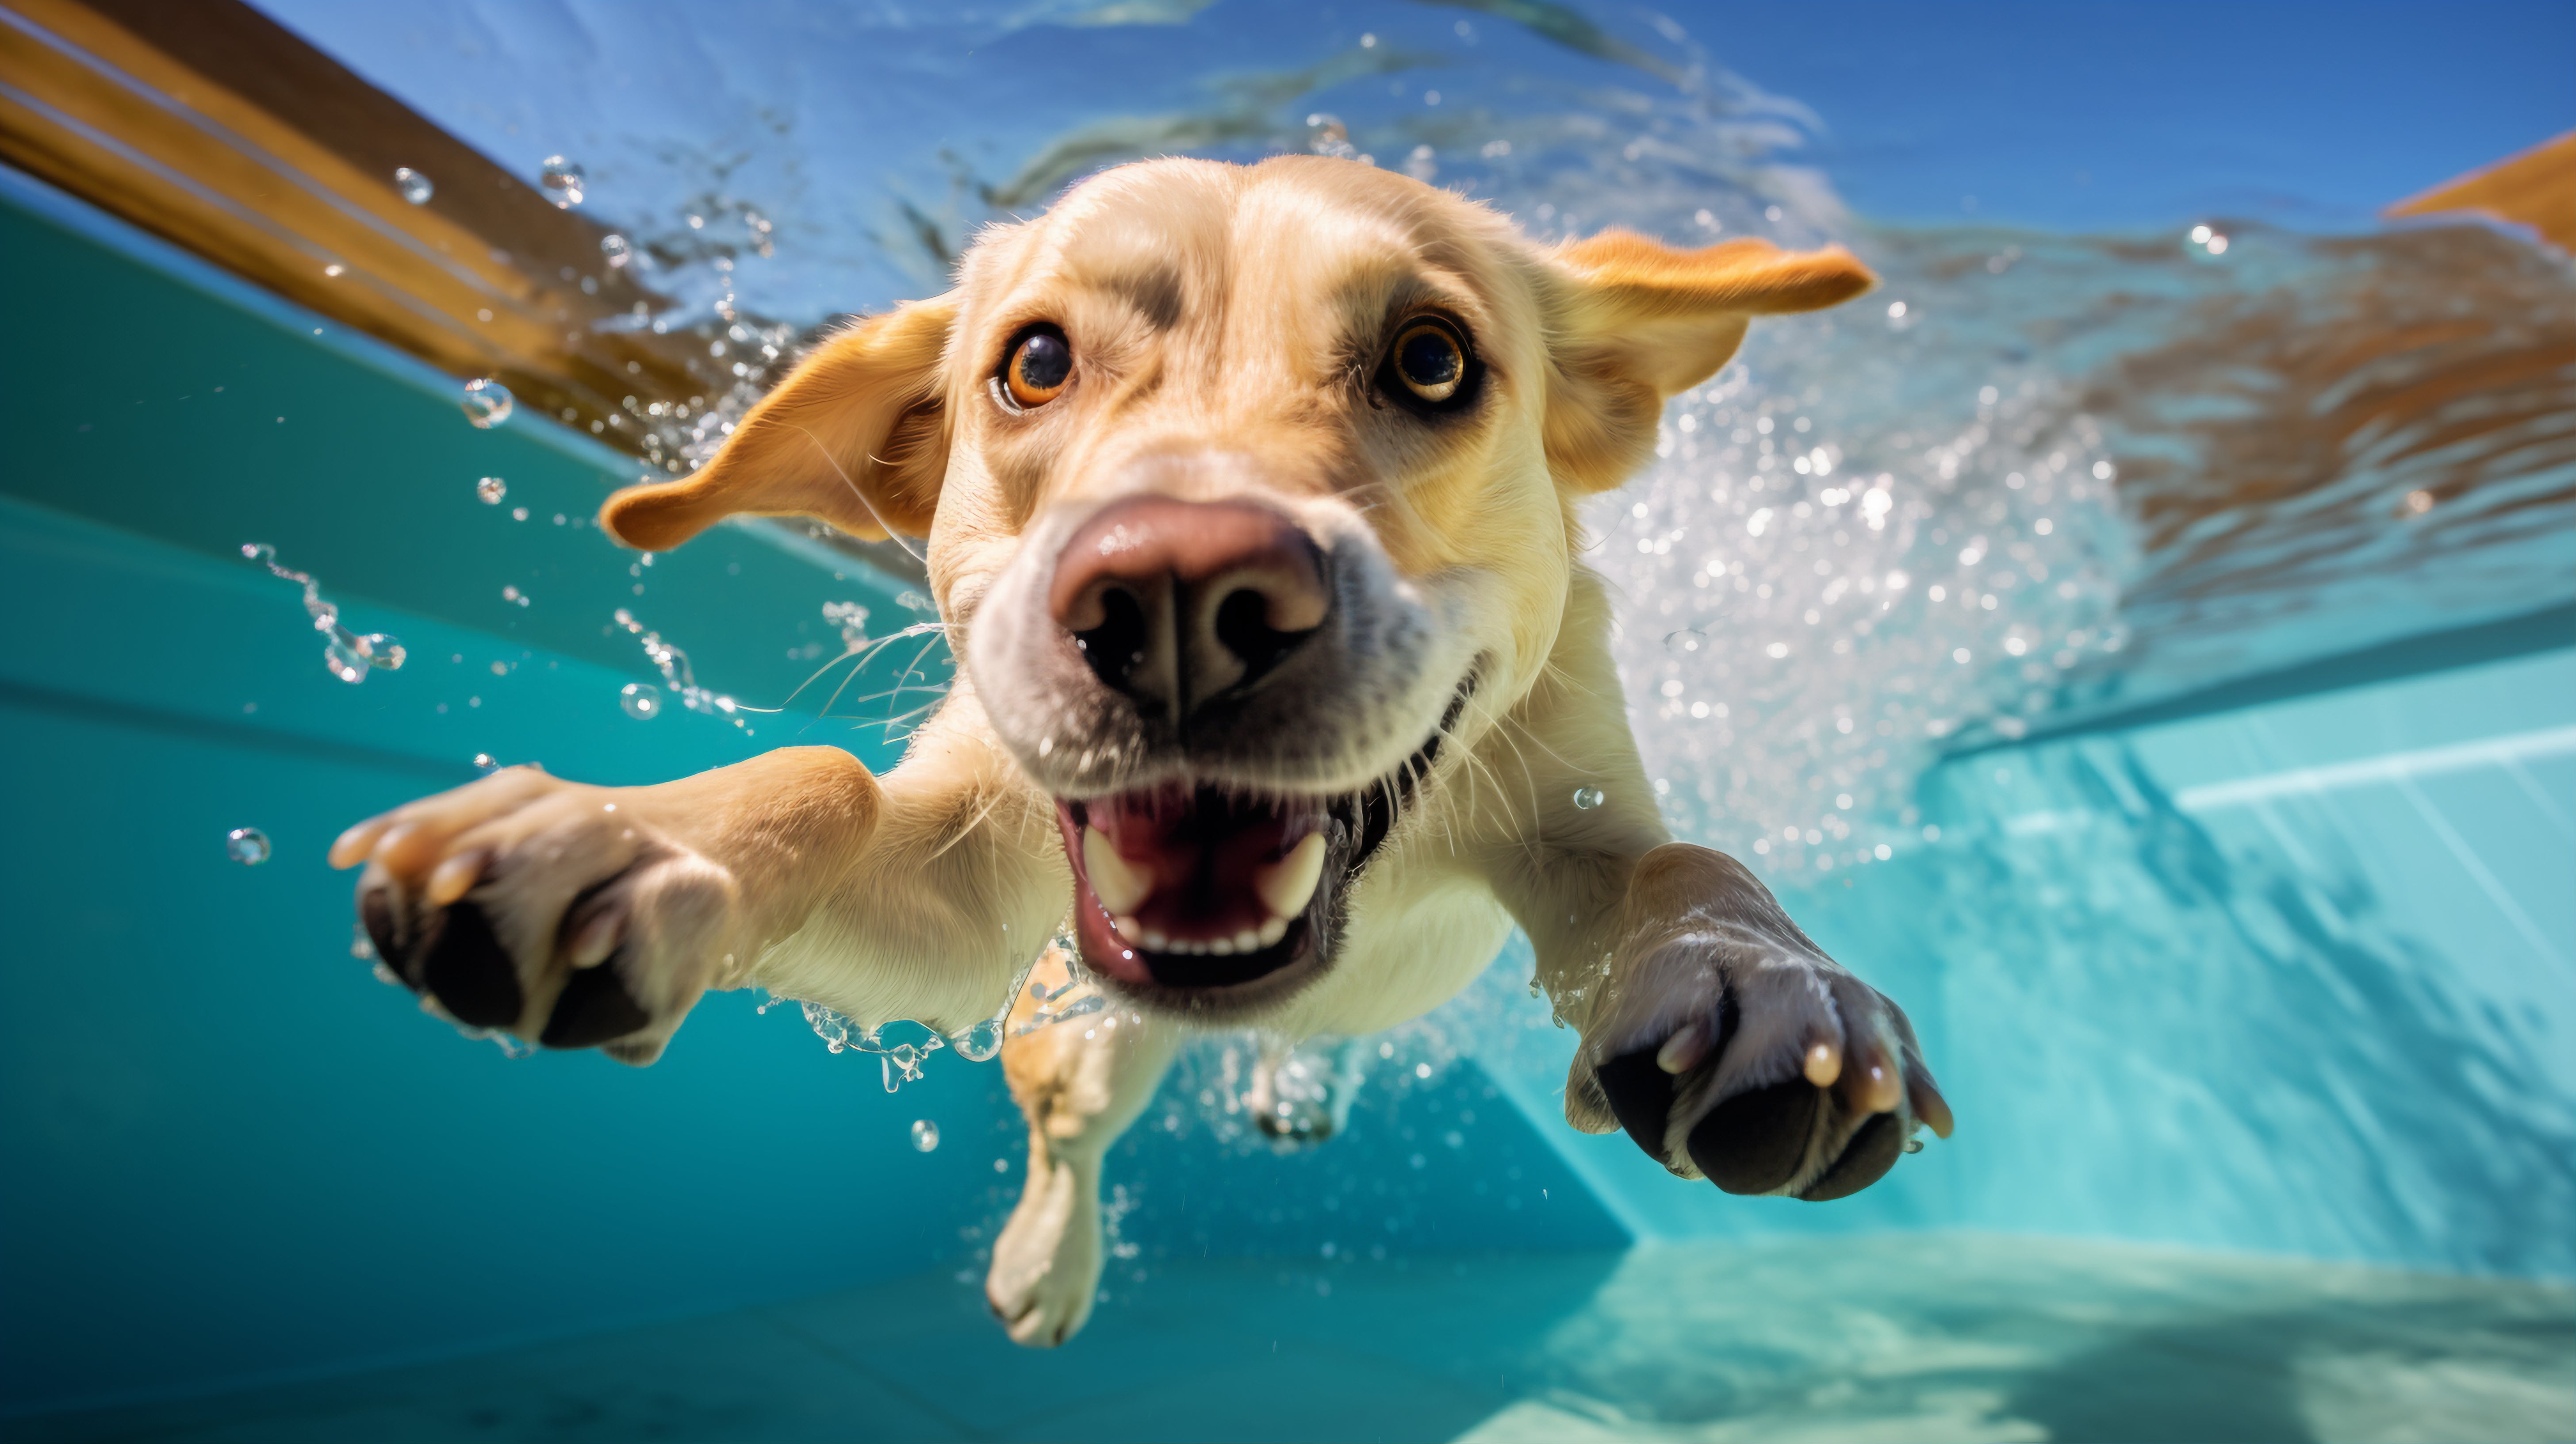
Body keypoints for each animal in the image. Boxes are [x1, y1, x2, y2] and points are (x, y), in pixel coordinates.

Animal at [337, 160, 1947, 1351]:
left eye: (1431, 359)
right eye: (1035, 363)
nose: (1180, 597)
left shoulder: (1574, 805)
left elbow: (1681, 861)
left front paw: (1770, 981)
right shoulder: (967, 892)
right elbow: (828, 782)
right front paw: (631, 837)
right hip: (1085, 1030)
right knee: (1072, 1132)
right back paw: (1048, 1266)